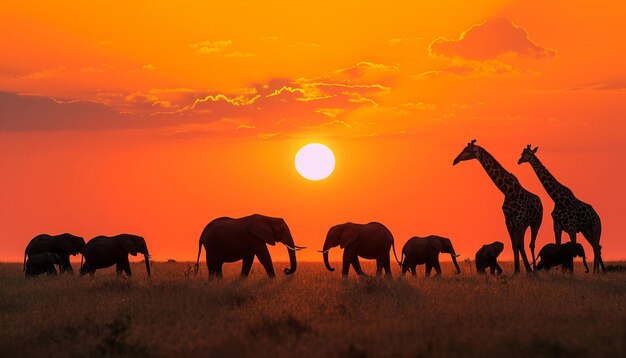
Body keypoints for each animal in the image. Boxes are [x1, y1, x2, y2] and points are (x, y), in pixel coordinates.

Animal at [448, 139, 540, 272]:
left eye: (467, 150)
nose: (455, 160)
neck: (508, 191)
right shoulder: (509, 222)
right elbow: (514, 245)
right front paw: (516, 271)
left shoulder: (519, 221)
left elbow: (519, 245)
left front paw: (527, 270)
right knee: (523, 244)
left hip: (535, 223)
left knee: (531, 244)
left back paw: (534, 270)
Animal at [516, 144, 604, 272]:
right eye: (522, 153)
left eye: (528, 154)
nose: (519, 161)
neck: (556, 198)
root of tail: (597, 216)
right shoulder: (557, 226)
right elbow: (558, 246)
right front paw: (561, 271)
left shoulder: (571, 227)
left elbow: (572, 247)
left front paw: (571, 272)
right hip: (586, 231)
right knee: (595, 247)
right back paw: (597, 272)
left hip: (596, 228)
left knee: (597, 247)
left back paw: (596, 272)